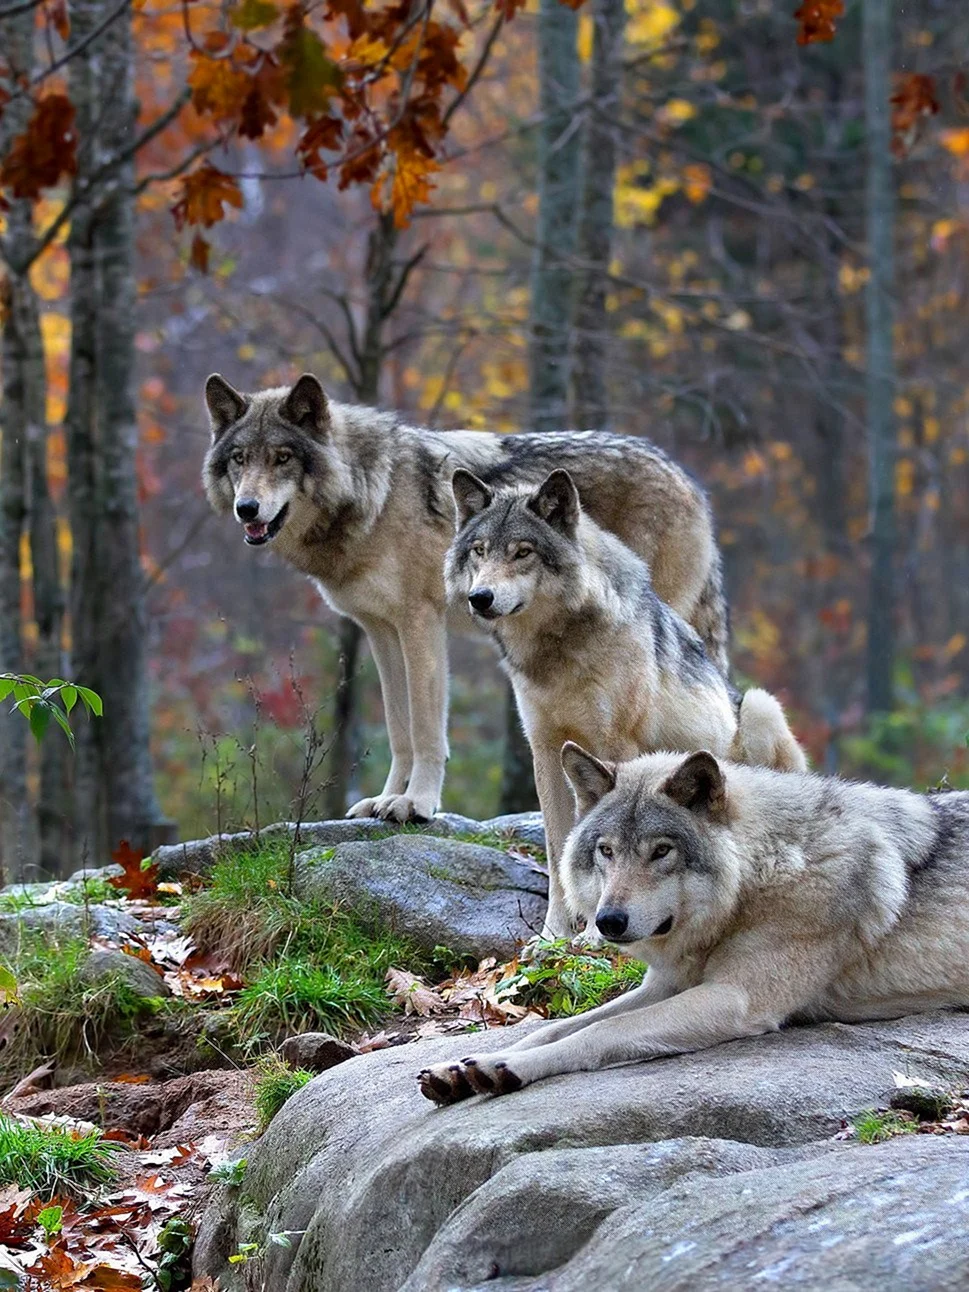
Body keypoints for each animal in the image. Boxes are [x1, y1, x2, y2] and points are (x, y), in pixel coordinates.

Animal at [202, 372, 729, 822]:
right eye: (240, 459)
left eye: (283, 458)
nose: (246, 508)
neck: (375, 492)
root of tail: (688, 479)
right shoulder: (380, 630)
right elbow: (398, 727)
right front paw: (385, 799)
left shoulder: (420, 622)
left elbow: (426, 728)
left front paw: (416, 803)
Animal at [418, 748, 969, 1103]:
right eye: (606, 851)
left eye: (661, 851)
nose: (608, 921)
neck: (765, 869)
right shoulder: (665, 985)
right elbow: (554, 1028)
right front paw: (469, 1065)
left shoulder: (735, 998)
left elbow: (600, 1032)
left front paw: (507, 1069)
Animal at [445, 468, 805, 936]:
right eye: (479, 551)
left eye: (523, 552)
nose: (481, 597)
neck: (558, 652)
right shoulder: (545, 749)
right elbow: (559, 850)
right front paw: (554, 935)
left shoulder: (616, 744)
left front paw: (592, 936)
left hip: (761, 706)